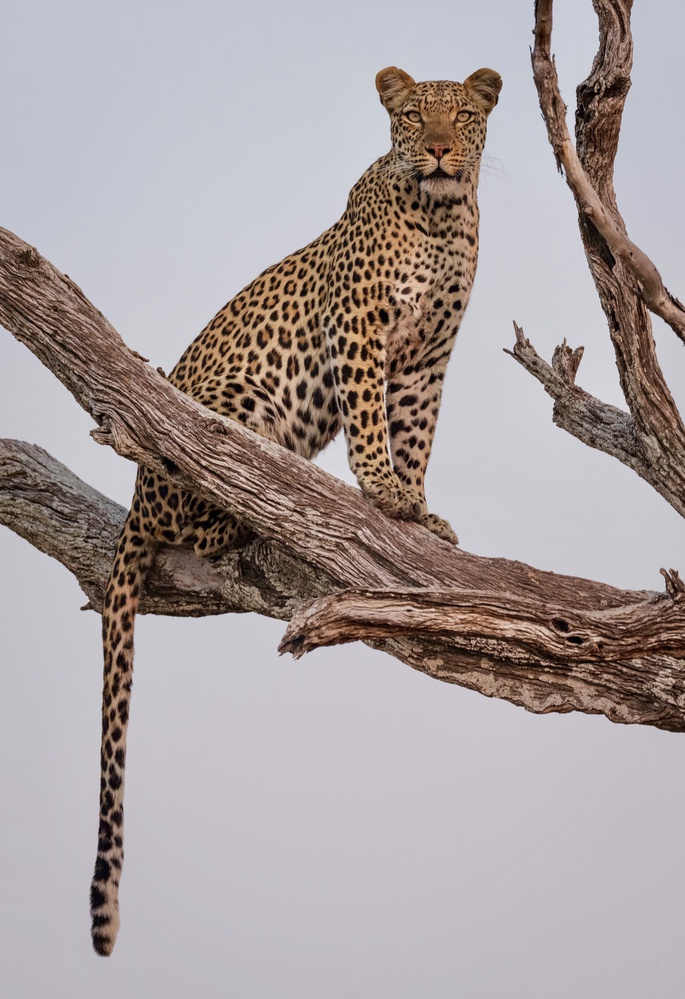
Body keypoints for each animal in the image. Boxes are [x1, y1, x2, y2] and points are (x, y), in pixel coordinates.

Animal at [88, 66, 500, 956]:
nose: (438, 149)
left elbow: (415, 432)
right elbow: (373, 422)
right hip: (230, 409)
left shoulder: (427, 356)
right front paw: (382, 492)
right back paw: (251, 509)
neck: (443, 216)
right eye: (411, 115)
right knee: (207, 493)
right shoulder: (361, 327)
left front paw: (417, 512)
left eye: (463, 114)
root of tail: (134, 502)